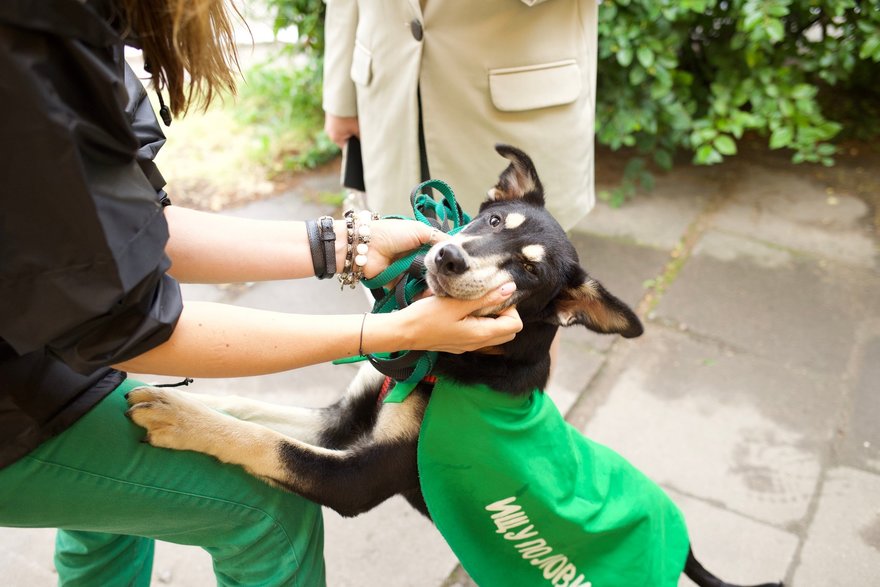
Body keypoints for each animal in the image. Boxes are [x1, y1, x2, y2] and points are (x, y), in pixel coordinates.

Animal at [125, 146, 784, 587]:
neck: (447, 365)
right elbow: (254, 410)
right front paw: (175, 396)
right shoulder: (344, 418)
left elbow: (265, 443)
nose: (445, 255)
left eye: (528, 270)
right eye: (491, 220)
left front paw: (178, 417)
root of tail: (683, 546)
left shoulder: (357, 477)